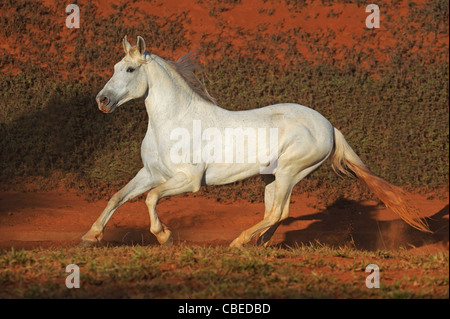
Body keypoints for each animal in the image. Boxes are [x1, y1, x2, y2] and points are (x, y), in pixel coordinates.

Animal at [80, 36, 428, 249]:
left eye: (130, 68)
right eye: (114, 67)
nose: (102, 101)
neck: (175, 121)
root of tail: (329, 126)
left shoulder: (188, 181)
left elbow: (151, 199)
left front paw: (164, 236)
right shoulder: (151, 173)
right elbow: (118, 197)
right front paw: (90, 236)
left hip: (291, 171)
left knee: (276, 213)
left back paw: (238, 242)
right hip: (273, 178)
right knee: (278, 211)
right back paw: (257, 243)